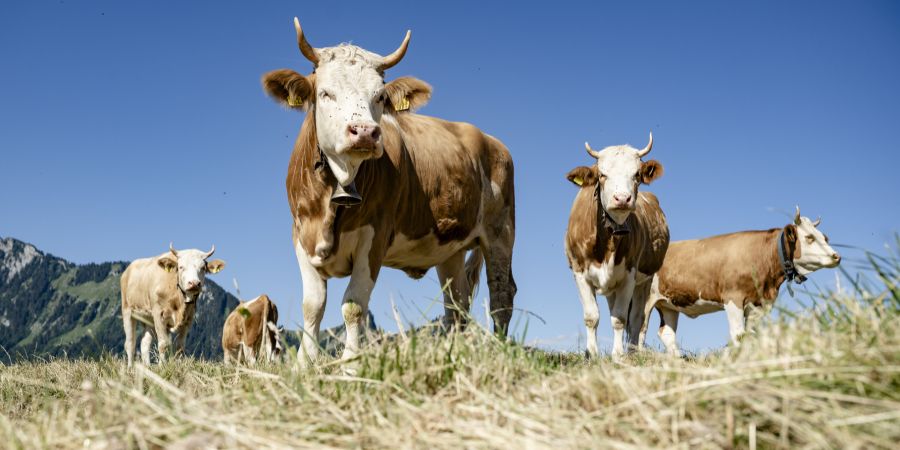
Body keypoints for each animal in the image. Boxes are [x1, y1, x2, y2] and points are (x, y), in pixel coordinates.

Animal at [261, 18, 516, 365]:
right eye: (325, 92)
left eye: (380, 96)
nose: (365, 132)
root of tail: (487, 138)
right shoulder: (301, 235)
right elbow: (313, 307)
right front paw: (303, 365)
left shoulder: (375, 236)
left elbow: (353, 305)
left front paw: (350, 365)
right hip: (450, 248)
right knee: (457, 304)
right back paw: (452, 354)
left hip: (500, 232)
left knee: (501, 294)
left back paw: (501, 350)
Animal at [564, 133, 669, 360]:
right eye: (602, 175)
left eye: (637, 174)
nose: (622, 198)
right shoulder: (579, 272)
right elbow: (592, 316)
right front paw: (591, 354)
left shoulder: (629, 275)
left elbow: (620, 318)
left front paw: (619, 355)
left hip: (645, 280)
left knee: (638, 319)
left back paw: (633, 351)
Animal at [638, 207, 841, 356]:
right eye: (809, 237)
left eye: (825, 237)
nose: (836, 256)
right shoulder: (733, 298)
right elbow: (738, 334)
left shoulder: (760, 303)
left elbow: (751, 335)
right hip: (645, 299)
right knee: (640, 328)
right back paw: (638, 357)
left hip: (669, 304)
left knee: (666, 333)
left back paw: (677, 360)